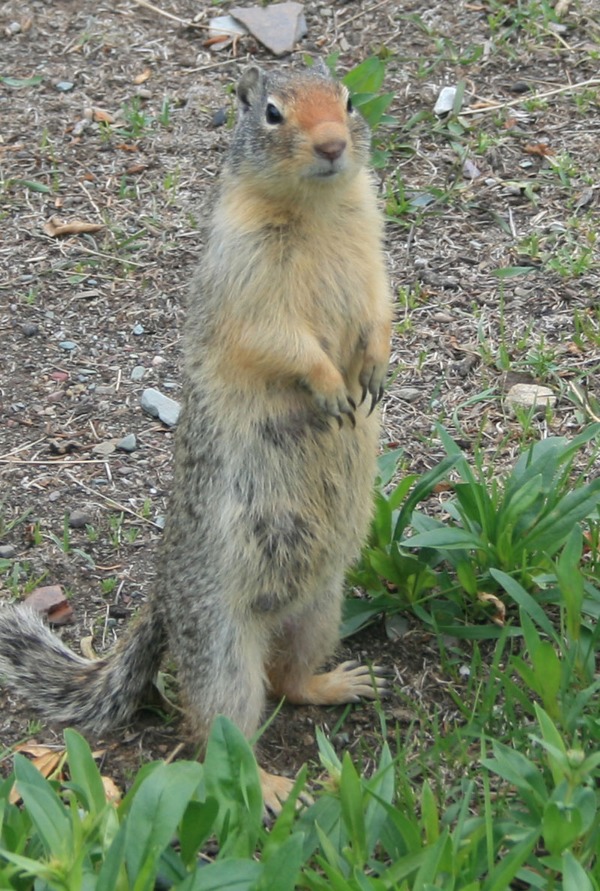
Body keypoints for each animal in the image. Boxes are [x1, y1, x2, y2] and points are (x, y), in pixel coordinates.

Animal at [0, 62, 394, 808]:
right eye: (271, 113)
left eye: (349, 100)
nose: (333, 145)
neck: (317, 211)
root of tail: (162, 599)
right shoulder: (248, 285)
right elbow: (282, 343)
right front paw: (331, 386)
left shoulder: (374, 263)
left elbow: (381, 316)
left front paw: (377, 371)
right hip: (220, 644)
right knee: (218, 728)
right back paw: (268, 785)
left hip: (321, 608)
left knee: (288, 680)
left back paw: (339, 682)